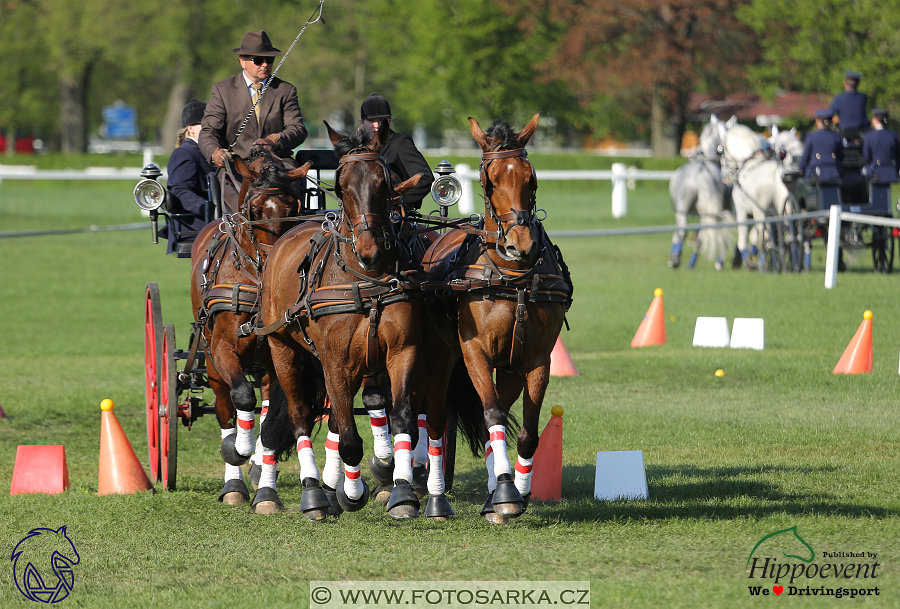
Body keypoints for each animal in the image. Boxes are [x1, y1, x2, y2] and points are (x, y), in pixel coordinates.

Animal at [188, 145, 312, 510]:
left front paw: (267, 491)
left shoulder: (279, 357)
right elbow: (242, 396)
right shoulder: (221, 349)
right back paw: (234, 482)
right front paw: (237, 450)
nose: (275, 268)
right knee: (225, 408)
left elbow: (271, 422)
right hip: (210, 361)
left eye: (293, 207)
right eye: (254, 210)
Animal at [256, 119, 426, 516]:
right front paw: (351, 491)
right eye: (341, 186)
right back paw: (315, 492)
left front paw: (401, 491)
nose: (369, 250)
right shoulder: (336, 361)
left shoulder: (402, 352)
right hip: (284, 351)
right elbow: (348, 438)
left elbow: (402, 420)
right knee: (301, 416)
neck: (367, 279)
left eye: (383, 182)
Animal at [420, 115, 572, 524]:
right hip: (439, 359)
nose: (522, 245)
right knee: (436, 420)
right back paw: (435, 495)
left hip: (509, 368)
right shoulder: (474, 352)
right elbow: (490, 414)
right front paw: (504, 491)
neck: (511, 278)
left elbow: (525, 432)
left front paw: (512, 492)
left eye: (531, 177)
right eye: (489, 180)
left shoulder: (536, 359)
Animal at [668, 116, 732, 268]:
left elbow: (677, 232)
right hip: (708, 212)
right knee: (702, 236)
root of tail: (703, 173)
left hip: (683, 209)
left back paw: (675, 260)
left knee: (682, 231)